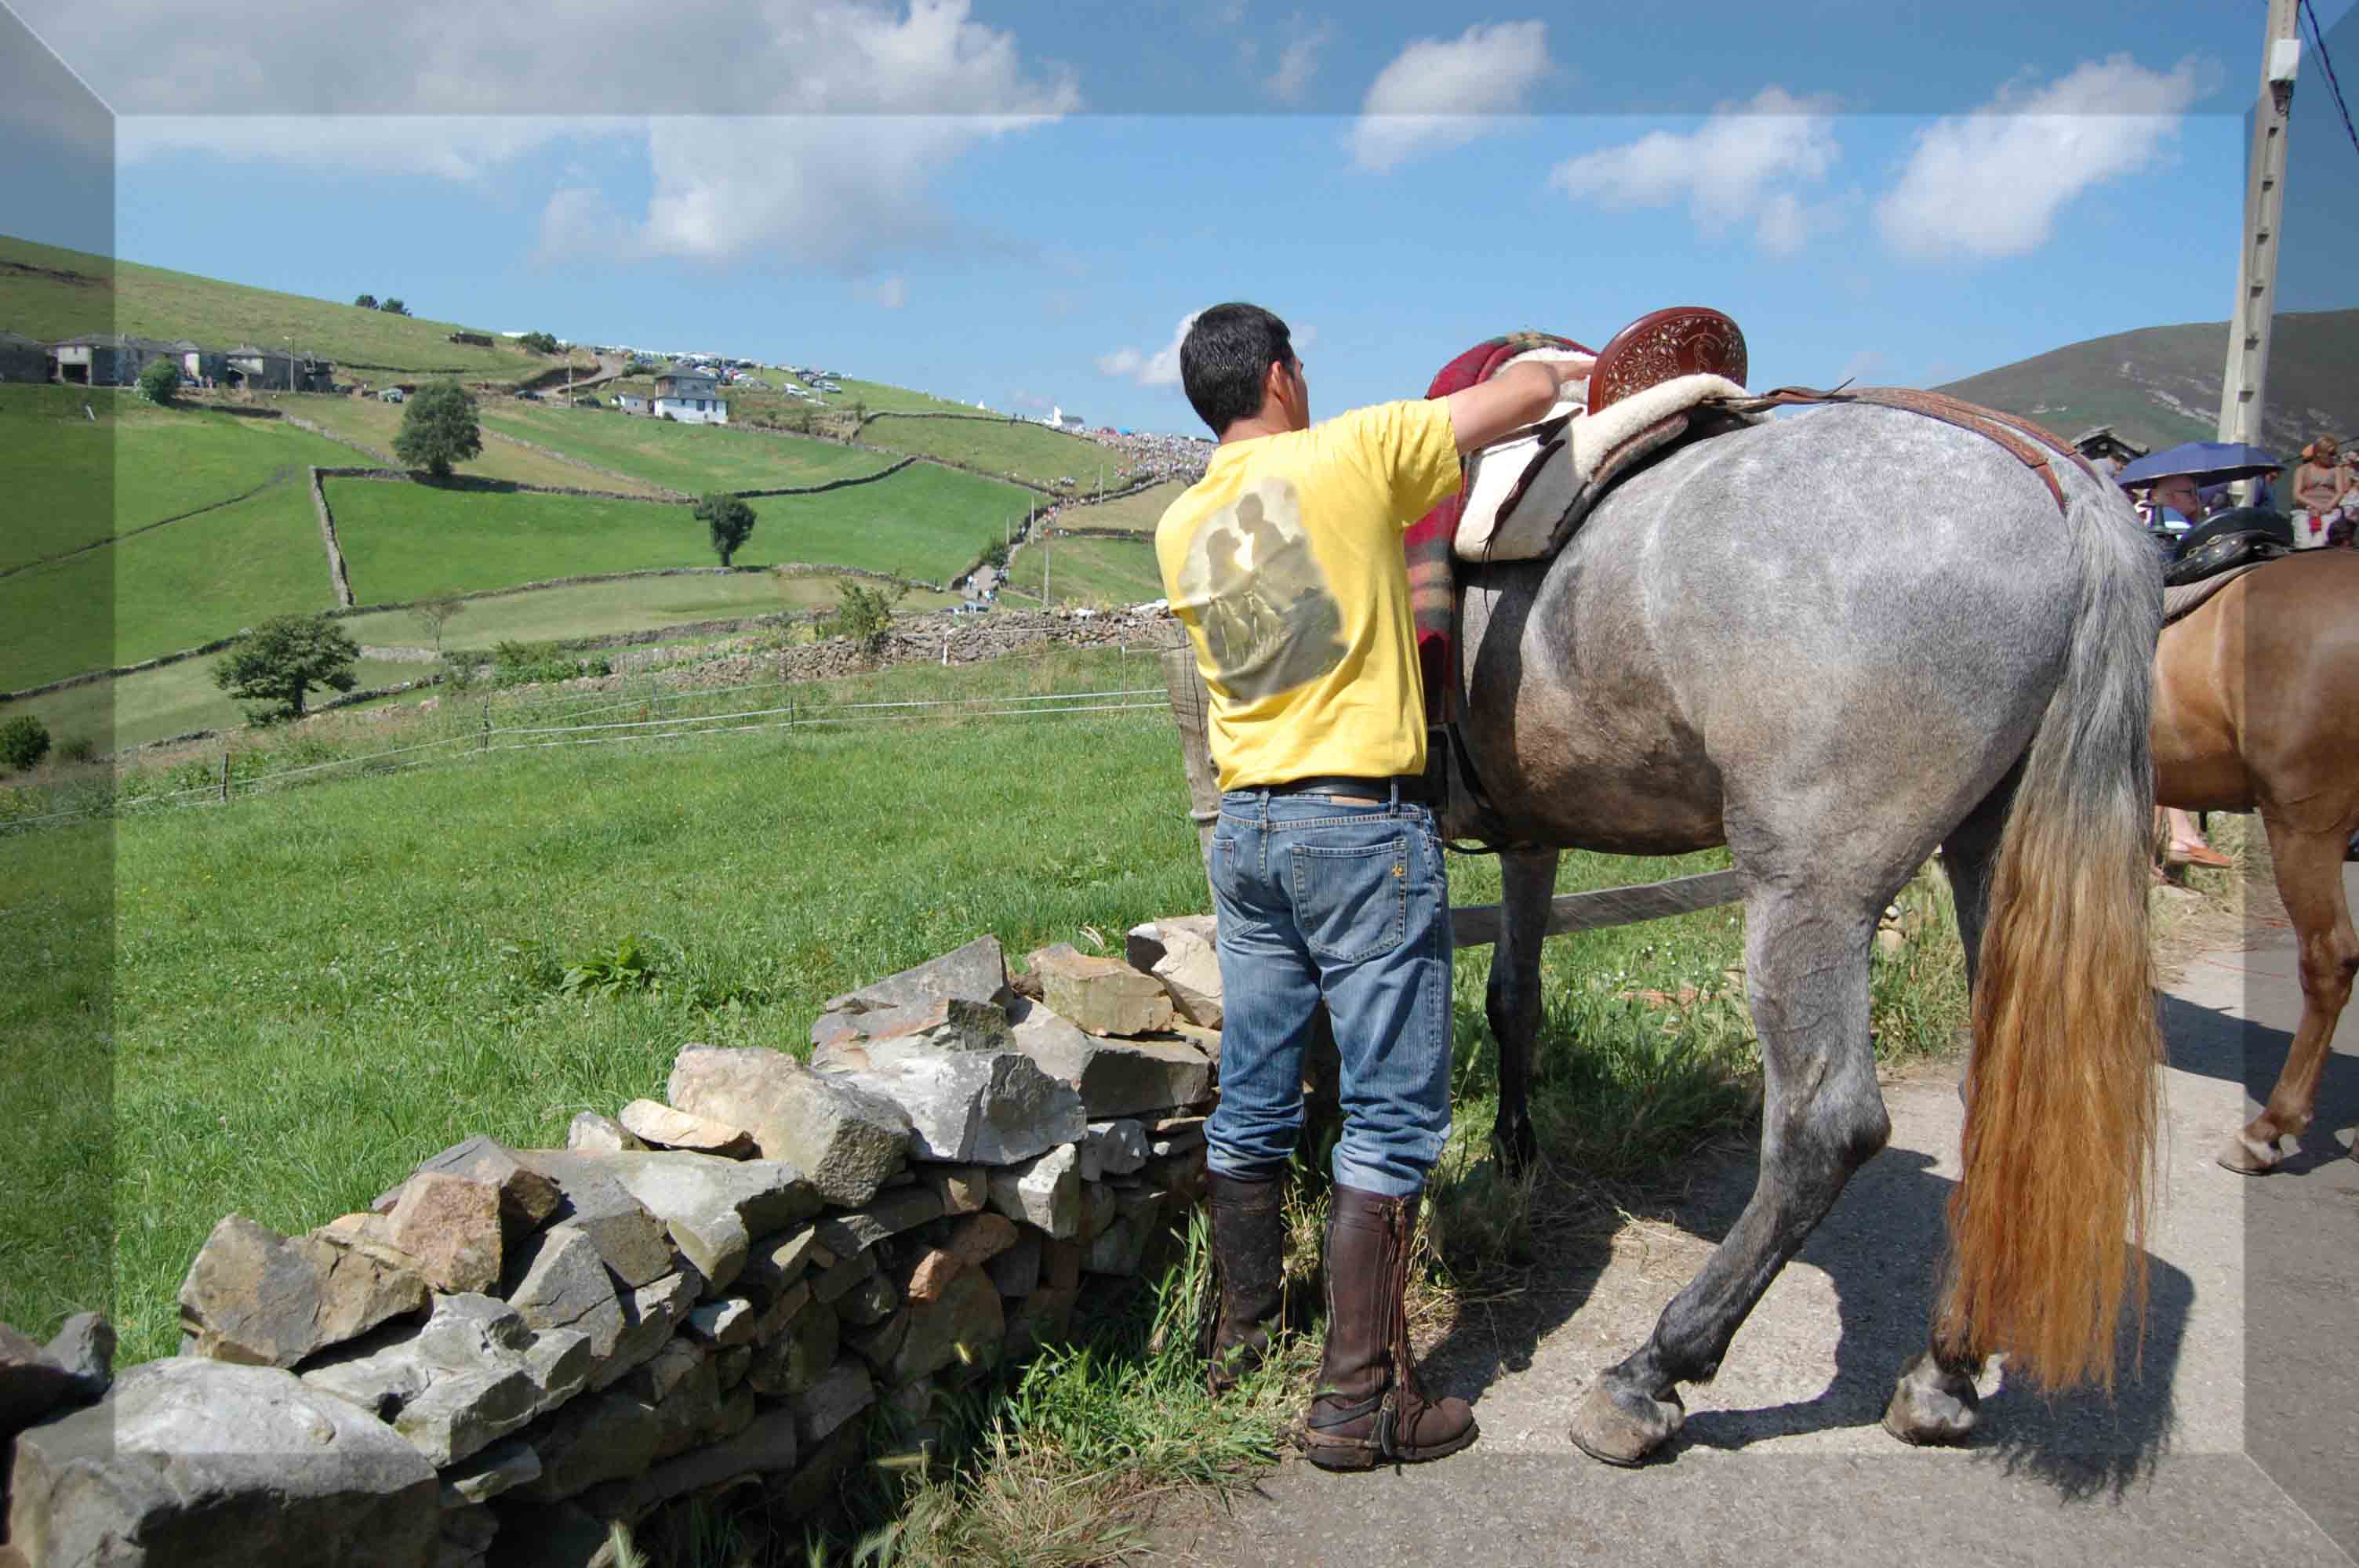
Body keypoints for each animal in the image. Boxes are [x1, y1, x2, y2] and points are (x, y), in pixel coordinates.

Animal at [1452, 398, 2170, 1461]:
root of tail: (2065, 486)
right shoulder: (1531, 837)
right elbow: (1514, 996)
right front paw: (1513, 1150)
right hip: (1994, 866)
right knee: (2002, 1097)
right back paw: (1942, 1369)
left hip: (1807, 895)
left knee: (1821, 1128)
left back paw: (1650, 1371)